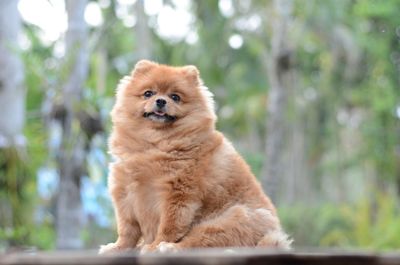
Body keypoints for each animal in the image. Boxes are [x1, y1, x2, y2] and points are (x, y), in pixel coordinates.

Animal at [97, 60, 290, 254]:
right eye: (148, 93)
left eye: (175, 97)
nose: (161, 101)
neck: (155, 144)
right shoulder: (126, 191)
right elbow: (127, 229)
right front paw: (118, 247)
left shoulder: (178, 195)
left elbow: (168, 226)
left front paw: (155, 245)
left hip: (229, 219)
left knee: (197, 242)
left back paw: (168, 248)